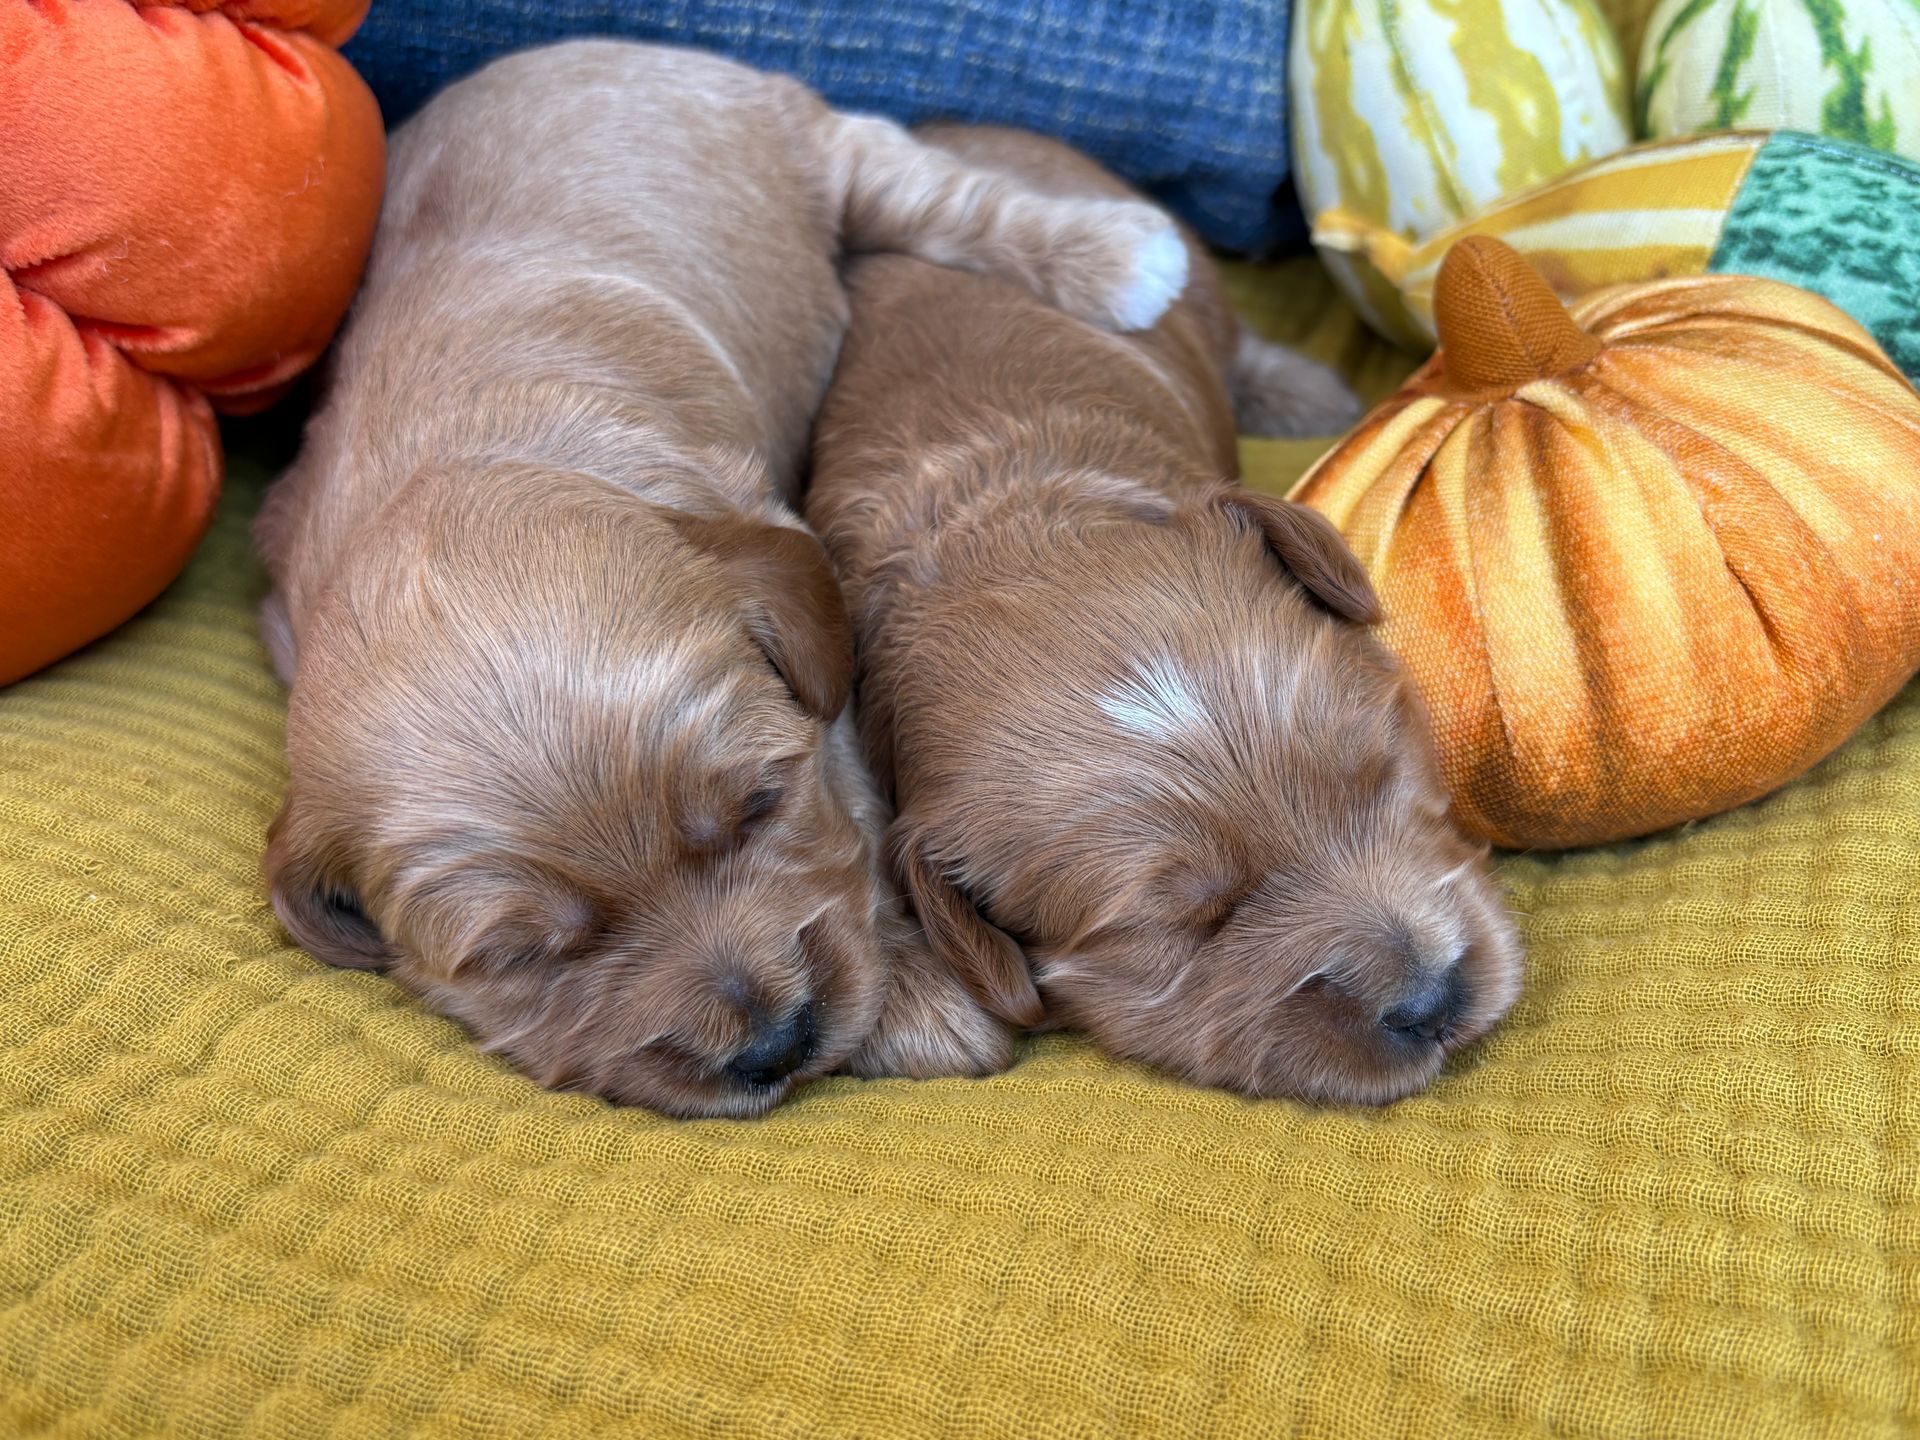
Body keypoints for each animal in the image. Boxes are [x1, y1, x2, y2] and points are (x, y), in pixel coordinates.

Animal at [254, 45, 1195, 1118]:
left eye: (759, 806)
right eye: (521, 956)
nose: (772, 1044)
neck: (455, 455)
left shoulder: (819, 654)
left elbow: (861, 815)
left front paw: (915, 995)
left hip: (817, 151)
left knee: (945, 199)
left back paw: (1122, 257)